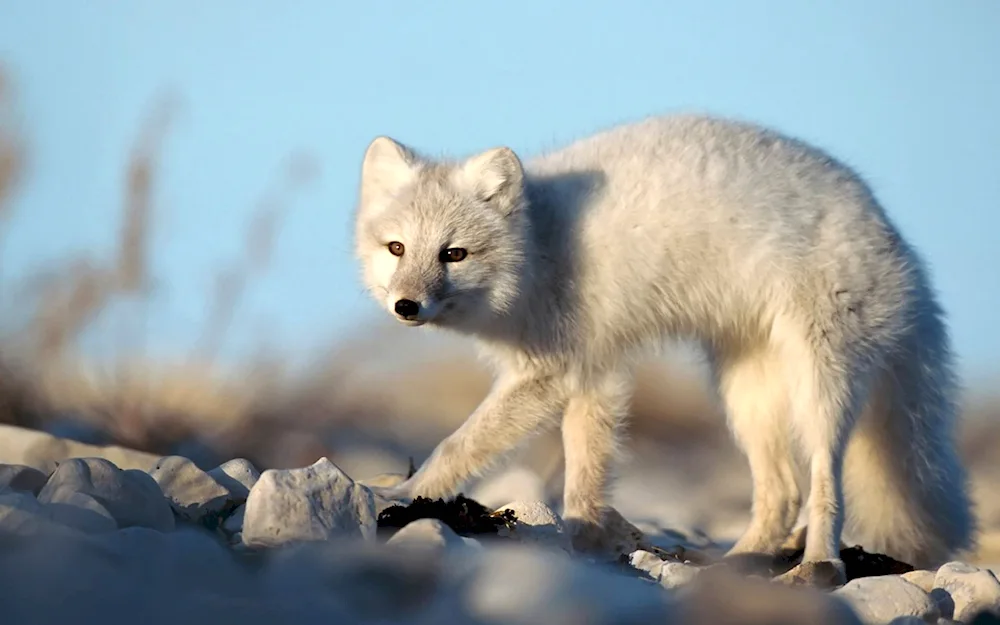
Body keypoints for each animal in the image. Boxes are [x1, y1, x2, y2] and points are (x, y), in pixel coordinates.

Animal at [350, 113, 968, 580]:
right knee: (782, 492)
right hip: (746, 394)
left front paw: (404, 496)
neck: (540, 249)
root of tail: (895, 239)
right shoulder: (594, 375)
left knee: (823, 485)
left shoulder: (557, 373)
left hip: (819, 386)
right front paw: (589, 539)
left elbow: (456, 445)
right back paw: (738, 563)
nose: (406, 306)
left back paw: (818, 566)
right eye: (397, 248)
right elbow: (585, 475)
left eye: (453, 254)